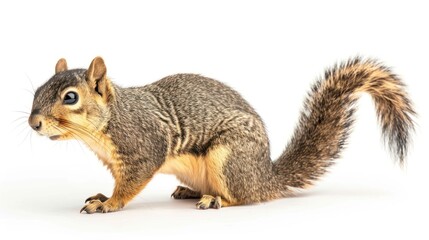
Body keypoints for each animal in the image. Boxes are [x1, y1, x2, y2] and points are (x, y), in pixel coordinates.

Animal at [27, 56, 414, 214]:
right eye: (38, 90)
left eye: (70, 98)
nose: (34, 123)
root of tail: (266, 177)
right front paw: (103, 195)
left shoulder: (142, 146)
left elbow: (131, 184)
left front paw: (108, 204)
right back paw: (190, 191)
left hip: (229, 158)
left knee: (243, 197)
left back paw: (216, 200)